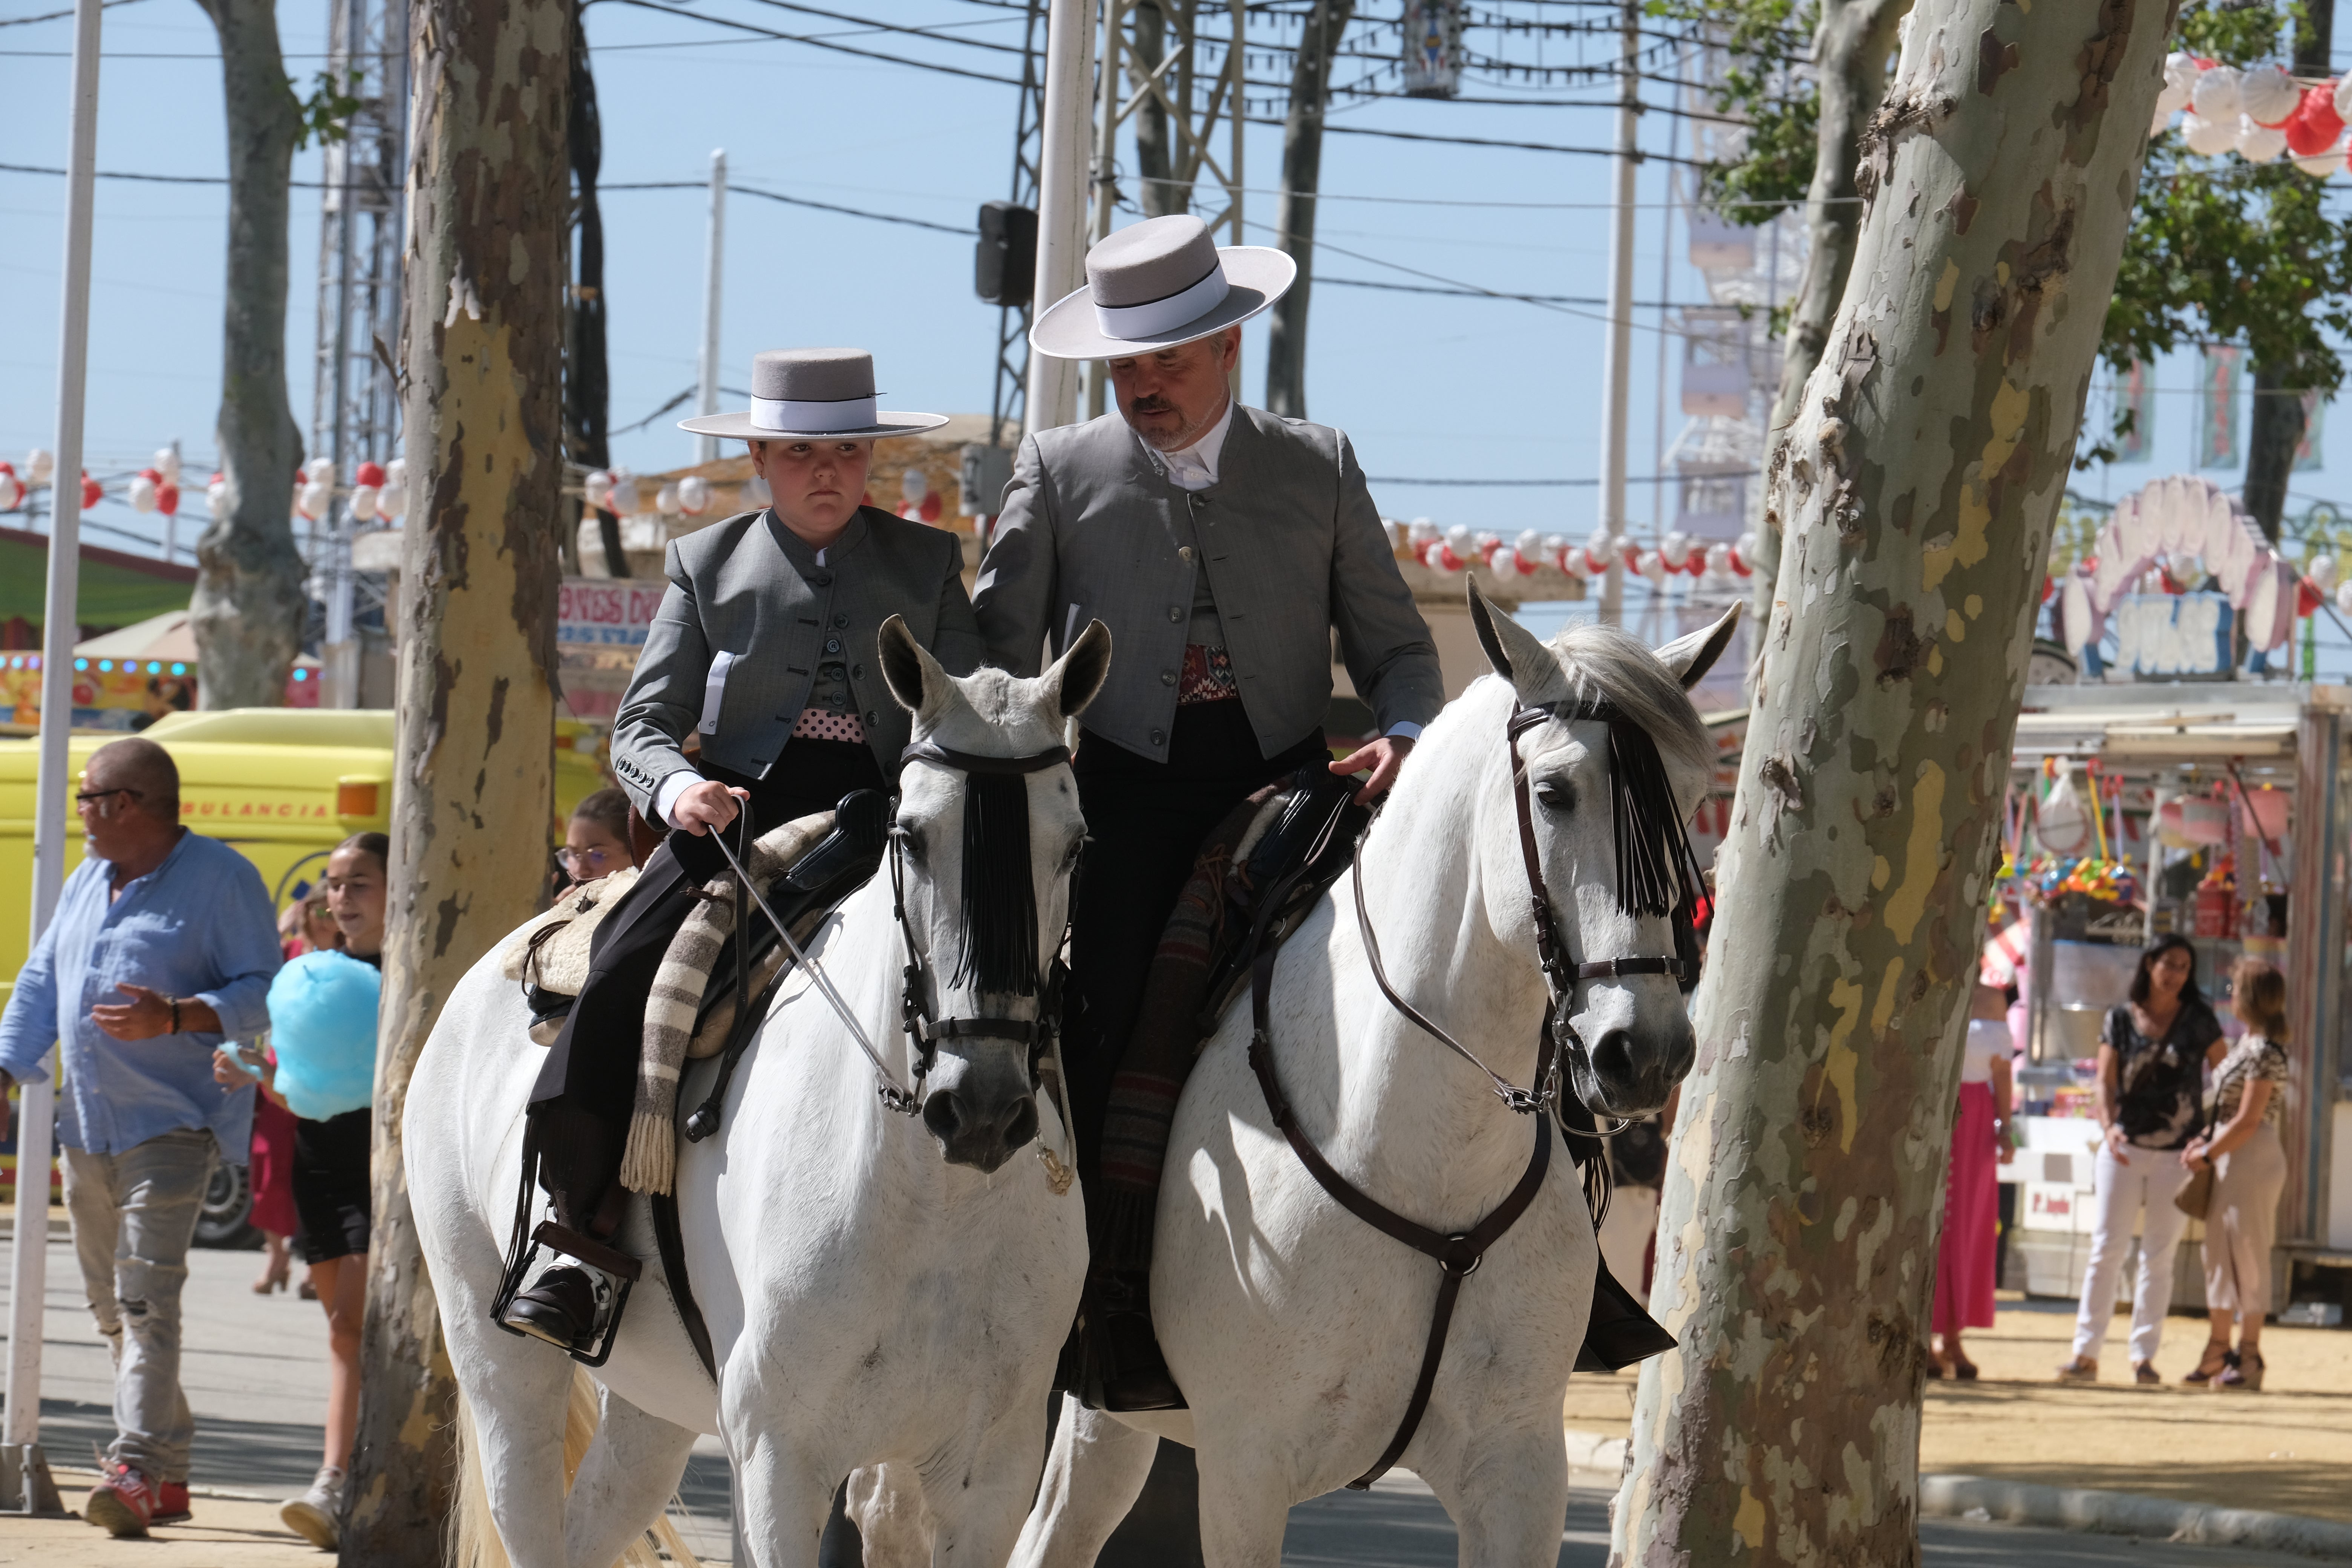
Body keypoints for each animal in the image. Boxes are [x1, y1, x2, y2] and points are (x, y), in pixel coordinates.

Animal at [409, 620, 1115, 1561]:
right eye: (912, 834)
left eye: (1075, 845)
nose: (983, 1110)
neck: (931, 1204)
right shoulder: (782, 1459)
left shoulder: (988, 1482)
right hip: (499, 1362)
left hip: (659, 1403)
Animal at [1002, 588, 1740, 1568]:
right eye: (1554, 793)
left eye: (1692, 800)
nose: (1644, 1051)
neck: (1421, 1145)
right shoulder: (1245, 1470)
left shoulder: (1517, 1467)